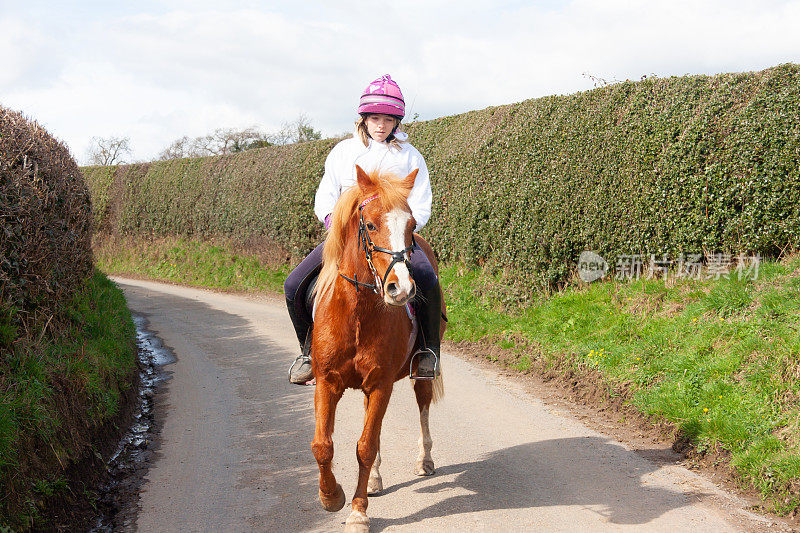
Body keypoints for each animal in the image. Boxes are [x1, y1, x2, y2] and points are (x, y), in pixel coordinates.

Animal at [310, 164, 444, 528]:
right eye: (369, 224)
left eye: (411, 225)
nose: (402, 289)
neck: (358, 313)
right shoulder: (327, 381)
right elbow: (323, 445)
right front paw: (331, 497)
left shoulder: (382, 383)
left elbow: (365, 447)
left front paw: (357, 512)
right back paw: (374, 480)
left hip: (419, 372)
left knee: (422, 405)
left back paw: (425, 460)